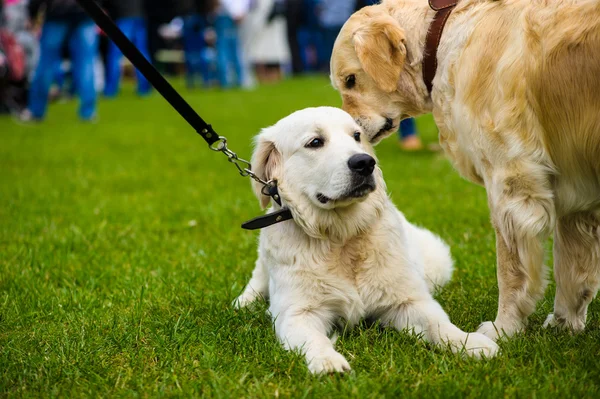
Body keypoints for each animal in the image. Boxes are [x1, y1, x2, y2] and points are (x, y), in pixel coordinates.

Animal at [233, 108, 496, 374]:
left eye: (357, 136)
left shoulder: (408, 301)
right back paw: (244, 301)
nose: (365, 163)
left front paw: (471, 343)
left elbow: (439, 324)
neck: (342, 237)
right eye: (315, 142)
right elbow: (313, 339)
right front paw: (328, 362)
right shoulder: (297, 312)